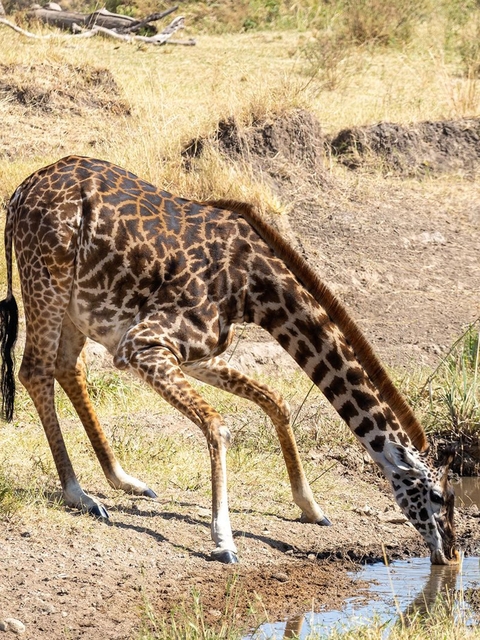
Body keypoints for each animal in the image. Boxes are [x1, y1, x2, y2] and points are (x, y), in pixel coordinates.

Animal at [0, 155, 458, 565]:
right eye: (438, 496)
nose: (451, 554)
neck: (253, 289)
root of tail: (19, 193)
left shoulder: (197, 354)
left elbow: (275, 401)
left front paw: (310, 507)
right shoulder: (143, 344)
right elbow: (218, 426)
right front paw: (224, 541)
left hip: (78, 306)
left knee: (66, 367)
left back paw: (125, 481)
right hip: (48, 281)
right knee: (35, 370)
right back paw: (80, 495)